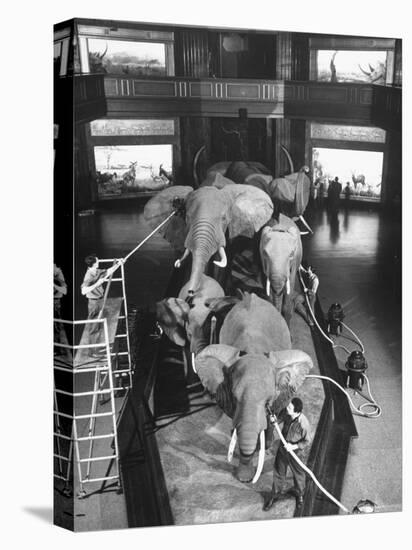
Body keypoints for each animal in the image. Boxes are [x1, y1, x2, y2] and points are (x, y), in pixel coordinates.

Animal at [193, 294, 312, 484]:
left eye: (267, 402)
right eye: (235, 398)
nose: (245, 480)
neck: (253, 350)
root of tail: (251, 295)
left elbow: (271, 417)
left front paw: (264, 448)